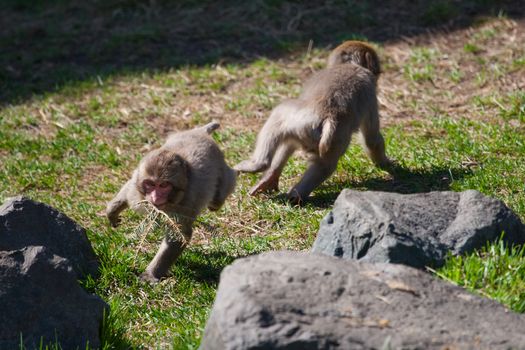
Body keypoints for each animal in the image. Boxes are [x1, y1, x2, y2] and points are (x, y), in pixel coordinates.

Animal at [106, 122, 235, 282]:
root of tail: (200, 132)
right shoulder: (136, 191)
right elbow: (128, 191)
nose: (155, 198)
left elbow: (180, 235)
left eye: (163, 185)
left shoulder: (184, 206)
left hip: (221, 170)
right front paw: (112, 211)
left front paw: (151, 273)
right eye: (150, 184)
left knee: (219, 196)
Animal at [233, 41, 388, 204]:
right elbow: (371, 140)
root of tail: (330, 117)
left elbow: (371, 140)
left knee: (279, 115)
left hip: (299, 121)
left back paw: (257, 166)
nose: (377, 77)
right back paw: (295, 196)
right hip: (332, 137)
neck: (352, 65)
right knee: (324, 166)